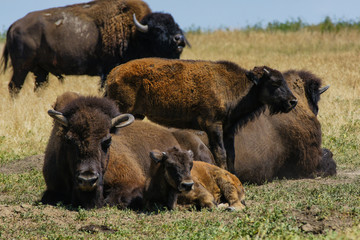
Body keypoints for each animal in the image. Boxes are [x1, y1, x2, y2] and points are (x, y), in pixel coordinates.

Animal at [1, 0, 188, 95]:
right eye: (158, 29)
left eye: (175, 25)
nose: (179, 40)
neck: (134, 33)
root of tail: (14, 25)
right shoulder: (108, 70)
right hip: (21, 67)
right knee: (14, 87)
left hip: (41, 71)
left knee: (38, 87)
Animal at [105, 59, 296, 173]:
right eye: (275, 83)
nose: (293, 101)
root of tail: (113, 73)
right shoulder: (213, 126)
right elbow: (220, 153)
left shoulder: (228, 130)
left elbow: (231, 154)